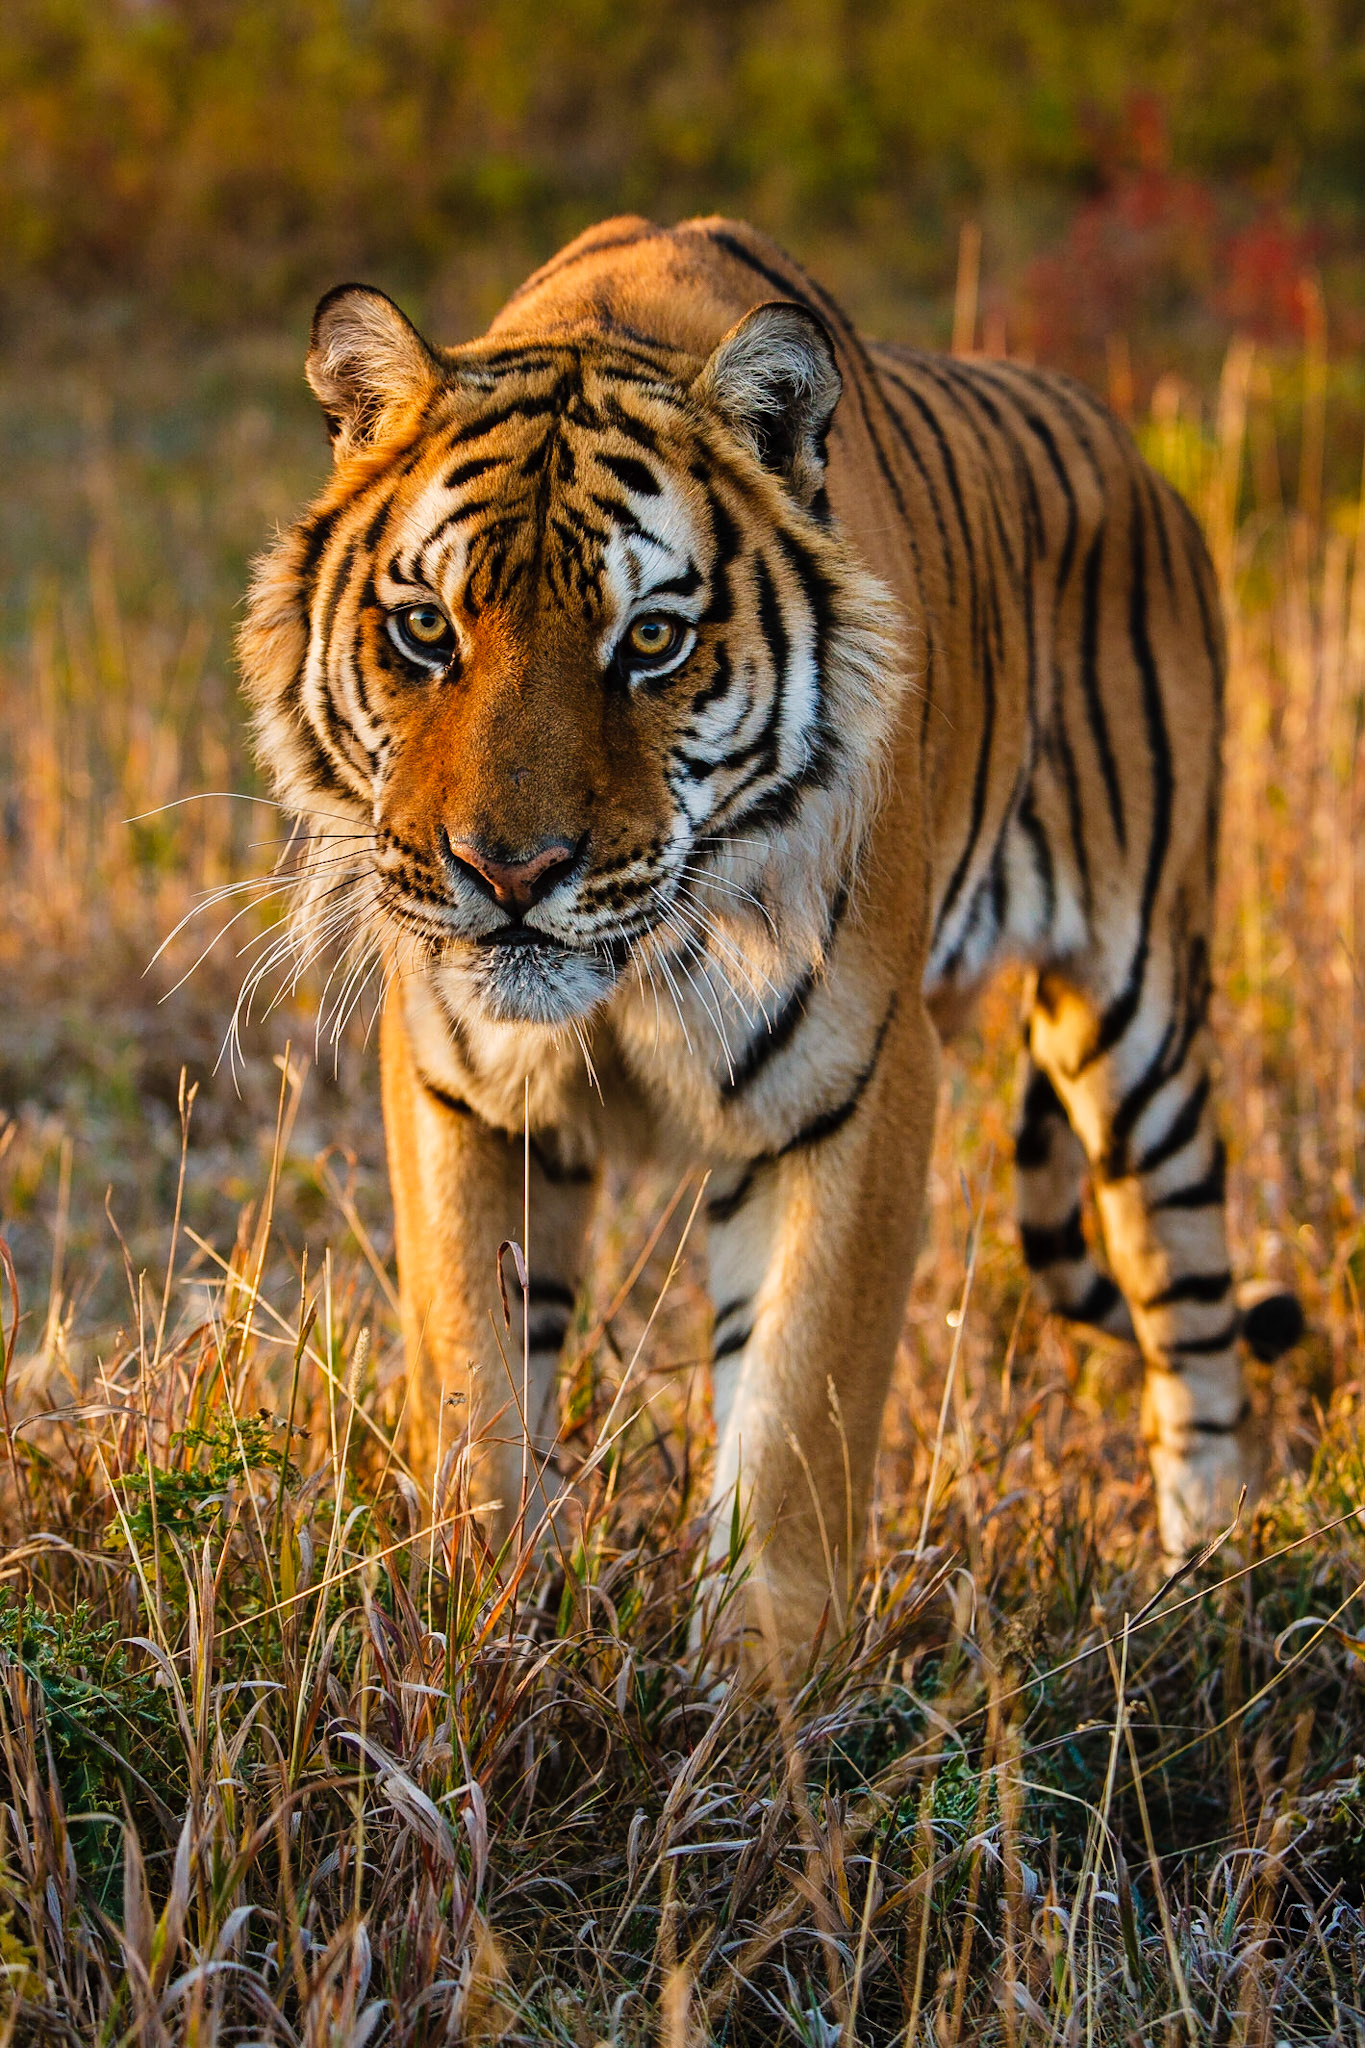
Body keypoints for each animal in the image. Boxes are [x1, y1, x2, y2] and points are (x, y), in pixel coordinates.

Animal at [239, 213, 1302, 1664]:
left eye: (650, 639)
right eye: (425, 630)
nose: (510, 872)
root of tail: (1133, 451)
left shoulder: (855, 1087)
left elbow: (798, 1419)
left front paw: (758, 1703)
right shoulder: (462, 1090)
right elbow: (479, 1392)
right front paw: (480, 1638)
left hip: (1140, 1017)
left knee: (1189, 1316)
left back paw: (1205, 1589)